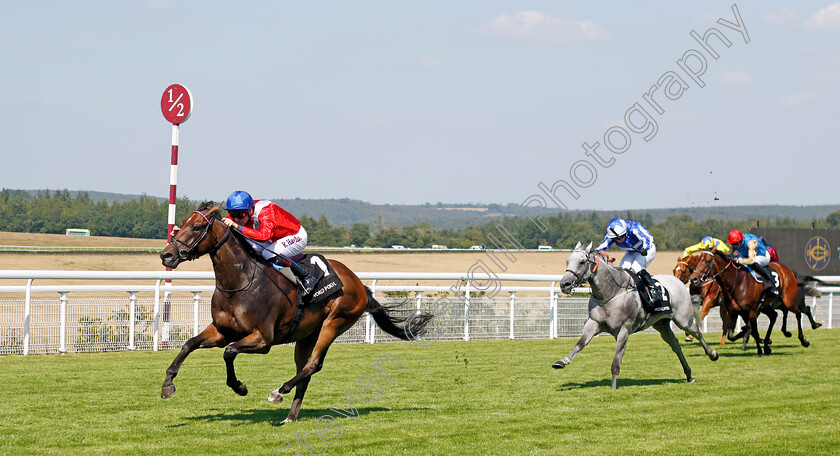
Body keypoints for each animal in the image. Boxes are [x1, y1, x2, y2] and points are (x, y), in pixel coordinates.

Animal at [158, 203, 434, 424]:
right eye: (179, 226)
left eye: (196, 227)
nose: (167, 254)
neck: (241, 281)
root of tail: (359, 284)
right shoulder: (221, 331)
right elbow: (189, 344)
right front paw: (168, 384)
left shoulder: (263, 339)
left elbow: (229, 352)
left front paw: (240, 387)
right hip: (307, 334)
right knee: (306, 369)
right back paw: (290, 416)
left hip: (334, 322)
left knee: (313, 364)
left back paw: (279, 392)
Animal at [556, 242, 720, 388]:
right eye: (567, 261)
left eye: (582, 262)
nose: (564, 284)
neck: (611, 292)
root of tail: (678, 281)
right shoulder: (594, 323)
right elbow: (580, 344)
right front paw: (562, 361)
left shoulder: (624, 329)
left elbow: (616, 362)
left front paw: (613, 388)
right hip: (661, 324)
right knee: (675, 345)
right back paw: (689, 375)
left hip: (683, 319)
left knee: (697, 332)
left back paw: (712, 354)